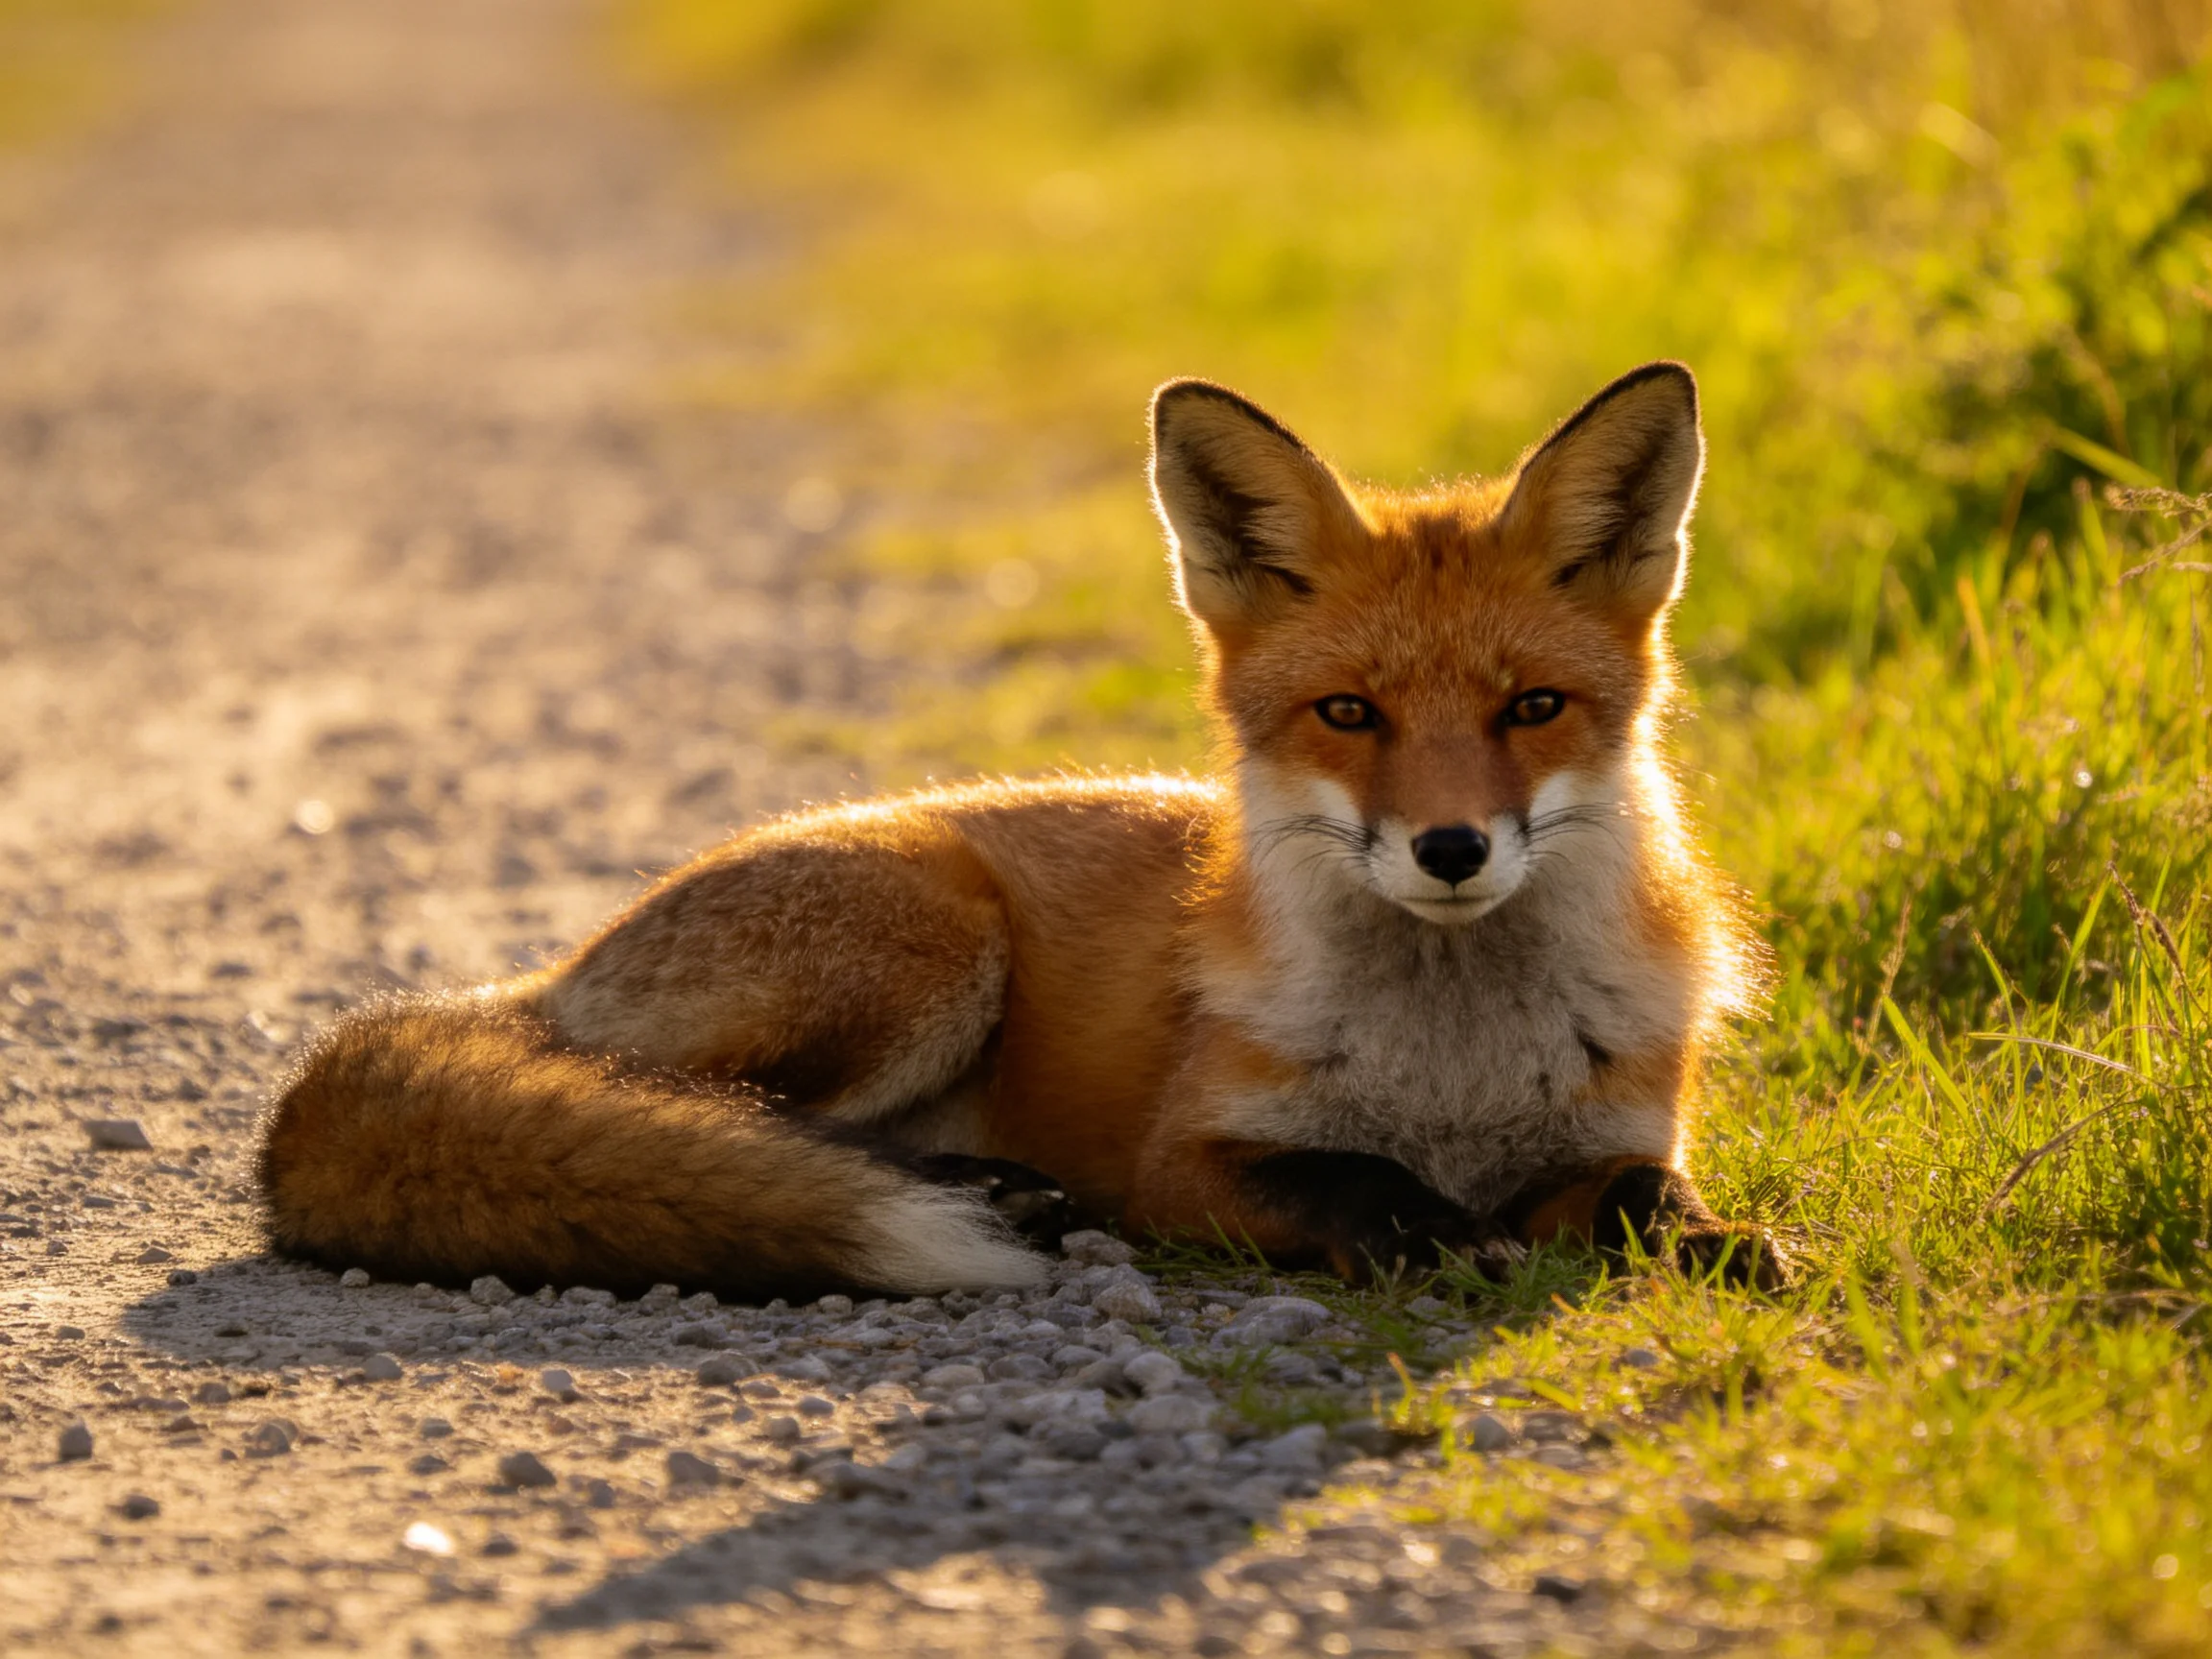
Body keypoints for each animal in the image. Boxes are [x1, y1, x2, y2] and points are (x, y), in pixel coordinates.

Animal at [258, 361, 1789, 1300]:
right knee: (704, 1118)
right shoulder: (1192, 1160)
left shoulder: (1621, 1133)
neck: (1456, 1077)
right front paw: (1433, 1234)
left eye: (1534, 708)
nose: (1452, 850)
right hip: (927, 939)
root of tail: (540, 980)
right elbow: (1355, 1184)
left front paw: (1727, 1248)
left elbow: (1648, 1200)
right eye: (1349, 714)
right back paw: (989, 1193)